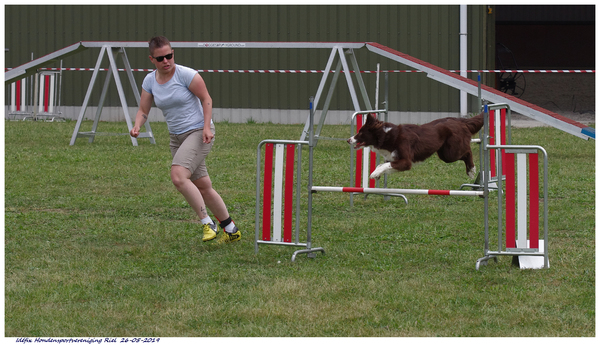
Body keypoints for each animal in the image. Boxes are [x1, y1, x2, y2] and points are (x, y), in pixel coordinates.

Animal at [350, 113, 486, 180]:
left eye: (361, 133)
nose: (348, 140)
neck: (387, 136)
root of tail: (460, 120)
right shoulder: (393, 159)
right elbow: (382, 165)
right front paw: (377, 173)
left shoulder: (406, 161)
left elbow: (384, 165)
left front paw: (374, 174)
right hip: (444, 154)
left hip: (450, 153)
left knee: (468, 152)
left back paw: (471, 171)